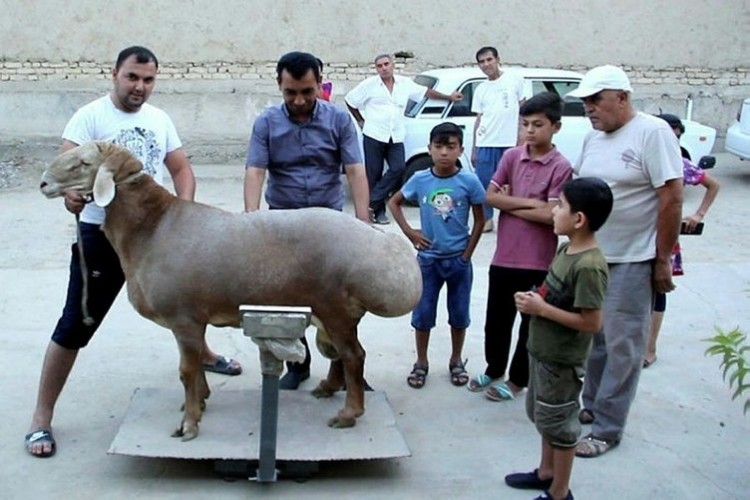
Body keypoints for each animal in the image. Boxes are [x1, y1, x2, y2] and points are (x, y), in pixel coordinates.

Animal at [39, 142, 424, 442]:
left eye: (84, 162)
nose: (44, 183)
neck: (153, 228)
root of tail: (378, 243)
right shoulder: (191, 320)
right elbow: (195, 367)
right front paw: (199, 402)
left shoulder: (184, 316)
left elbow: (187, 369)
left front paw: (189, 425)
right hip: (330, 311)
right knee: (339, 354)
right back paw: (327, 388)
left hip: (336, 308)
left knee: (354, 355)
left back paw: (348, 414)